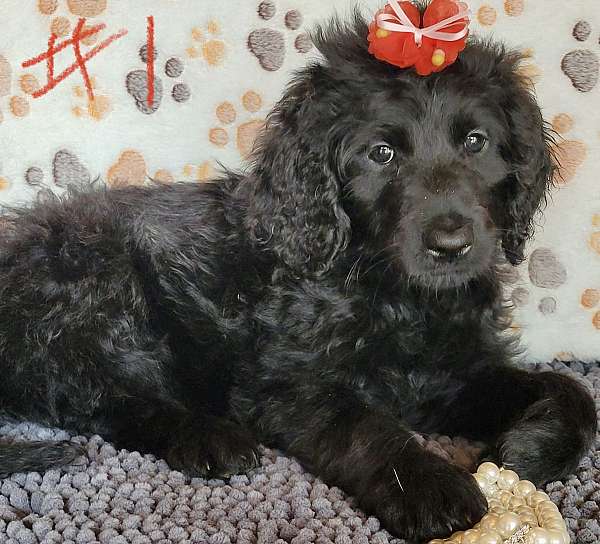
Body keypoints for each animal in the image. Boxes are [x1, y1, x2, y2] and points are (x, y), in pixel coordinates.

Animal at [0, 10, 596, 540]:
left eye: (476, 142)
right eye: (381, 154)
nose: (451, 245)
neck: (399, 296)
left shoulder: (451, 378)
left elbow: (570, 389)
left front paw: (529, 449)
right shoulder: (288, 384)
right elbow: (366, 426)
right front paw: (431, 487)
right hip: (92, 280)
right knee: (102, 399)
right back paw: (208, 438)